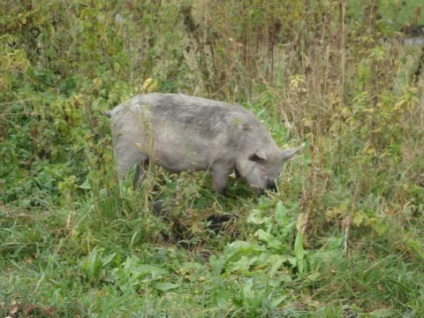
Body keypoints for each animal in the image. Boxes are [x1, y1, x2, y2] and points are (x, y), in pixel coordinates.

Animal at [105, 93, 304, 195]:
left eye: (279, 172)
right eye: (263, 170)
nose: (273, 192)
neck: (242, 145)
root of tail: (115, 110)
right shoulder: (220, 162)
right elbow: (220, 185)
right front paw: (222, 199)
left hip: (143, 159)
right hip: (126, 150)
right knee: (121, 176)